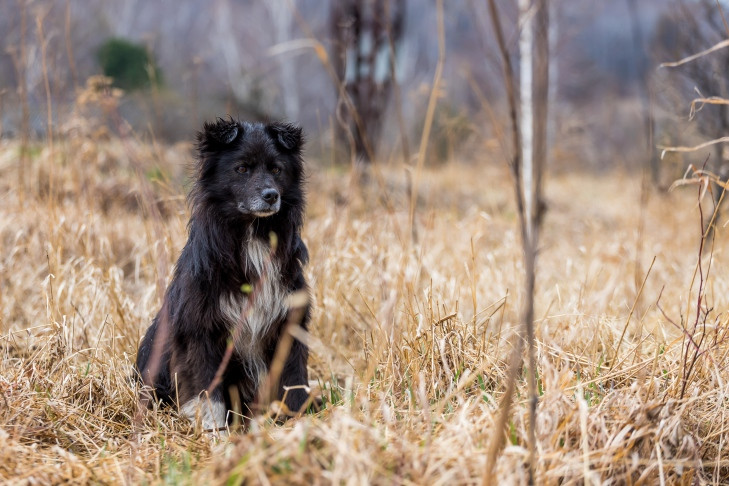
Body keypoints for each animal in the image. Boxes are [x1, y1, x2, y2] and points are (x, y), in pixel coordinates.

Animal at [136, 119, 310, 430]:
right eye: (241, 169)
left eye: (277, 169)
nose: (271, 196)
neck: (253, 233)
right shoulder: (200, 325)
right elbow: (206, 386)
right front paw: (213, 429)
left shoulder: (289, 318)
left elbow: (292, 379)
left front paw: (293, 422)